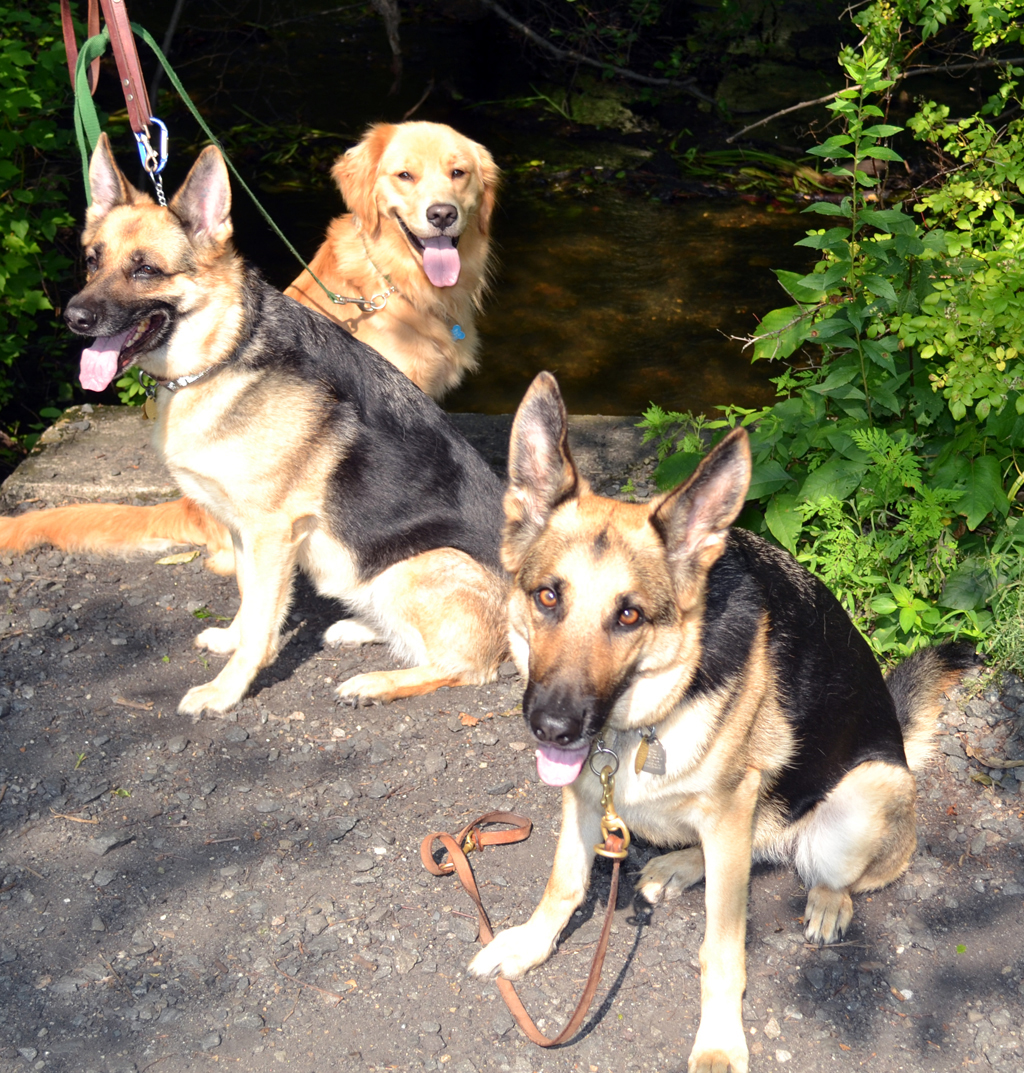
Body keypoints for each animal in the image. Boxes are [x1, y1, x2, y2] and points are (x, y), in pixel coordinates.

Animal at [59, 134, 506, 716]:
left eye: (146, 270)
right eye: (92, 261)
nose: (74, 318)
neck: (223, 354)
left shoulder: (271, 533)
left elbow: (260, 625)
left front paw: (227, 689)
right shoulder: (242, 529)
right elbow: (250, 603)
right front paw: (232, 638)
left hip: (416, 566)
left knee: (468, 666)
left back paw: (376, 682)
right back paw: (356, 629)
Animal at [470, 373, 974, 1068]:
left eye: (629, 616)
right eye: (547, 597)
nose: (553, 728)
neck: (645, 718)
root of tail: (895, 738)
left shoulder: (731, 804)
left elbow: (723, 948)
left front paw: (718, 1039)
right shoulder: (584, 791)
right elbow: (564, 882)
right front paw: (528, 944)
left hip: (865, 794)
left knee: (824, 869)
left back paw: (825, 899)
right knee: (750, 849)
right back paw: (679, 865)